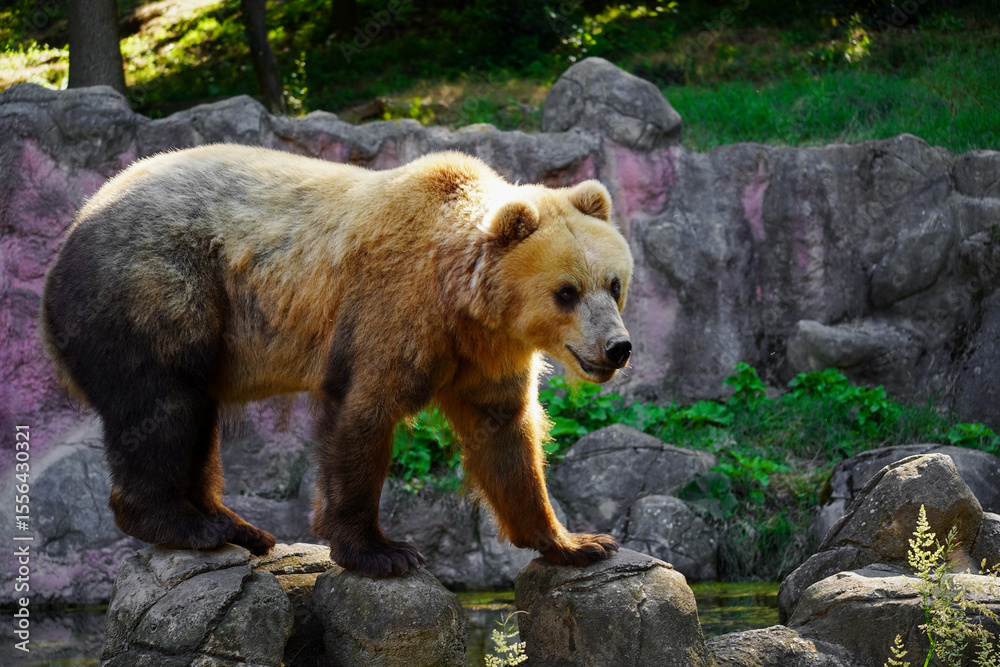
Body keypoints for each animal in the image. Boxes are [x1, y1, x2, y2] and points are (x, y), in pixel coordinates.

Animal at [40, 145, 634, 577]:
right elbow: (362, 415)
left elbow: (506, 434)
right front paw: (383, 551)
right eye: (565, 292)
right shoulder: (390, 310)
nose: (617, 347)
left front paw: (579, 541)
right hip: (159, 288)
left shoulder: (484, 354)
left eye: (614, 284)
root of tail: (77, 221)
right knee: (161, 404)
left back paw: (236, 526)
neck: (462, 303)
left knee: (195, 418)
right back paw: (185, 525)